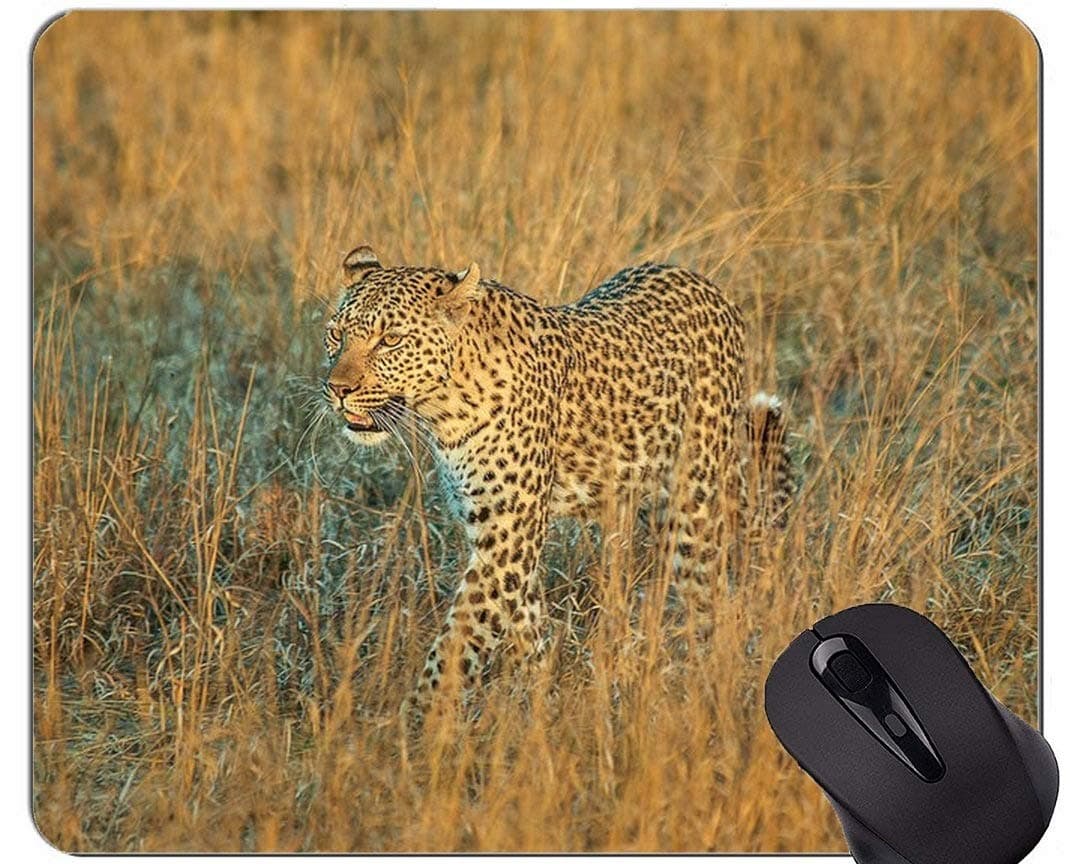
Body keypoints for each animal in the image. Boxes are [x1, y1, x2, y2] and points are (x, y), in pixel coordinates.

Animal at [320, 245, 794, 718]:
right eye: (334, 335)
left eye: (391, 340)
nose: (337, 389)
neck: (444, 408)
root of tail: (707, 285)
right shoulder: (499, 532)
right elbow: (521, 623)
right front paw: (538, 697)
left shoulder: (507, 536)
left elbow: (459, 639)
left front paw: (415, 719)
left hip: (694, 503)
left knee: (710, 595)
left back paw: (708, 676)